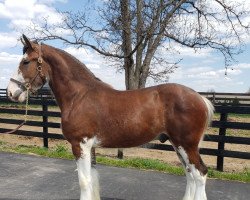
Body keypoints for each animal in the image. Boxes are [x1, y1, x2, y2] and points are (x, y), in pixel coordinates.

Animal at [6, 35, 213, 200]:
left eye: (26, 62)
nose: (10, 92)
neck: (79, 96)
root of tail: (200, 98)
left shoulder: (80, 145)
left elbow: (84, 181)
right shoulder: (90, 147)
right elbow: (91, 180)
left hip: (186, 145)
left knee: (200, 174)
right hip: (178, 145)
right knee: (190, 174)